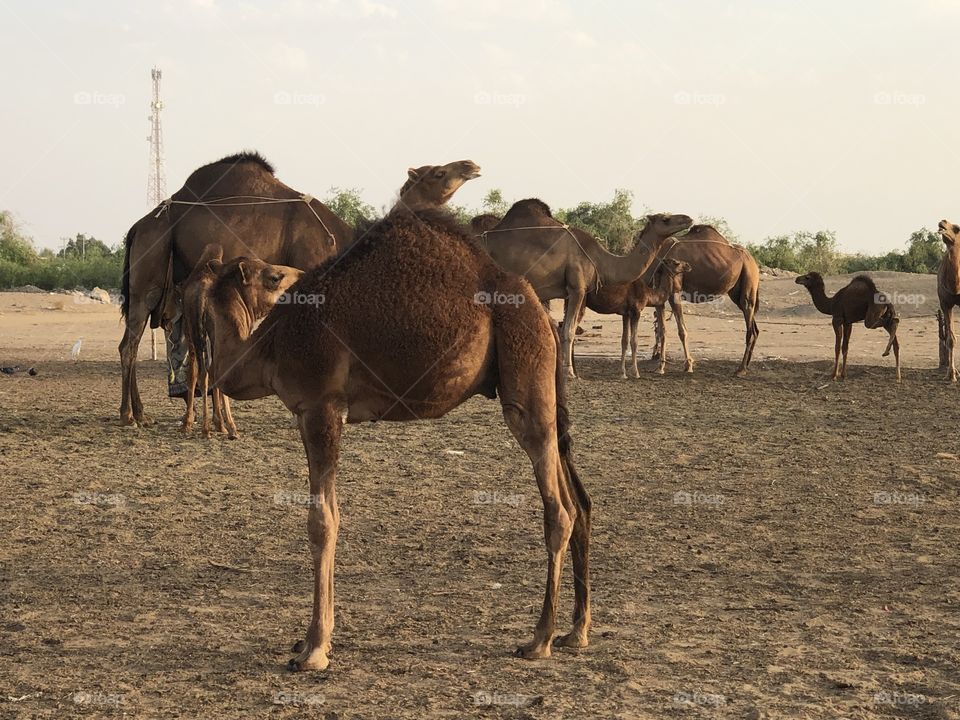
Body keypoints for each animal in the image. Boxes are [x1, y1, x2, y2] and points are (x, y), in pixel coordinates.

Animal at [119, 152, 480, 426]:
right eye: (438, 172)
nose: (471, 165)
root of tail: (137, 226)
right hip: (148, 269)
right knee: (130, 342)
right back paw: (130, 416)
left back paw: (143, 413)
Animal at [205, 208, 591, 672]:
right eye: (273, 276)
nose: (292, 273)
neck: (267, 348)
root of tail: (544, 317)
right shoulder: (308, 413)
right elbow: (330, 514)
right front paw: (314, 640)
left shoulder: (322, 406)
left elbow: (322, 522)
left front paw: (314, 648)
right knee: (578, 502)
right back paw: (576, 632)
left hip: (524, 374)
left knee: (559, 509)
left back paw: (539, 638)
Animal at [475, 200, 693, 378]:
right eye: (665, 219)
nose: (688, 218)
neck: (598, 258)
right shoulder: (577, 287)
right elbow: (568, 330)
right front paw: (569, 372)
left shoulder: (573, 291)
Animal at [648, 224, 760, 375]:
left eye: (676, 262)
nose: (688, 266)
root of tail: (753, 260)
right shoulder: (659, 294)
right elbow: (662, 331)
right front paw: (660, 368)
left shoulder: (675, 292)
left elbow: (682, 331)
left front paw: (688, 365)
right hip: (737, 292)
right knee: (754, 328)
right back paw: (746, 366)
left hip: (749, 280)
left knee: (750, 328)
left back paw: (740, 369)